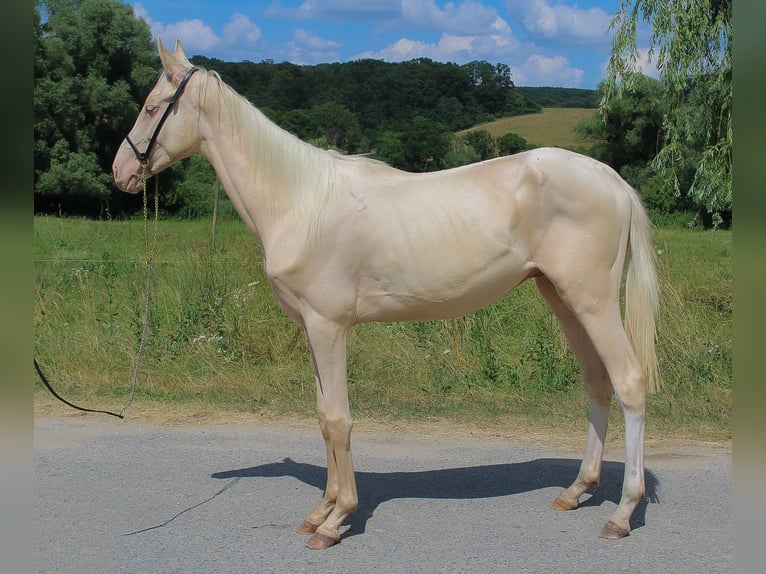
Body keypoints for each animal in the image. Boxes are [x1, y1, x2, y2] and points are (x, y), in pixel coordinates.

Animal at [112, 38, 660, 552]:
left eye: (150, 107)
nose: (120, 172)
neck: (301, 201)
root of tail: (612, 180)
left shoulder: (328, 327)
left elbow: (338, 419)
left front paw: (335, 521)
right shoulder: (313, 330)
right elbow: (322, 415)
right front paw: (320, 510)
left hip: (592, 301)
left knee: (629, 382)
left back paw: (621, 513)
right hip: (562, 298)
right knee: (597, 383)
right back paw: (576, 490)